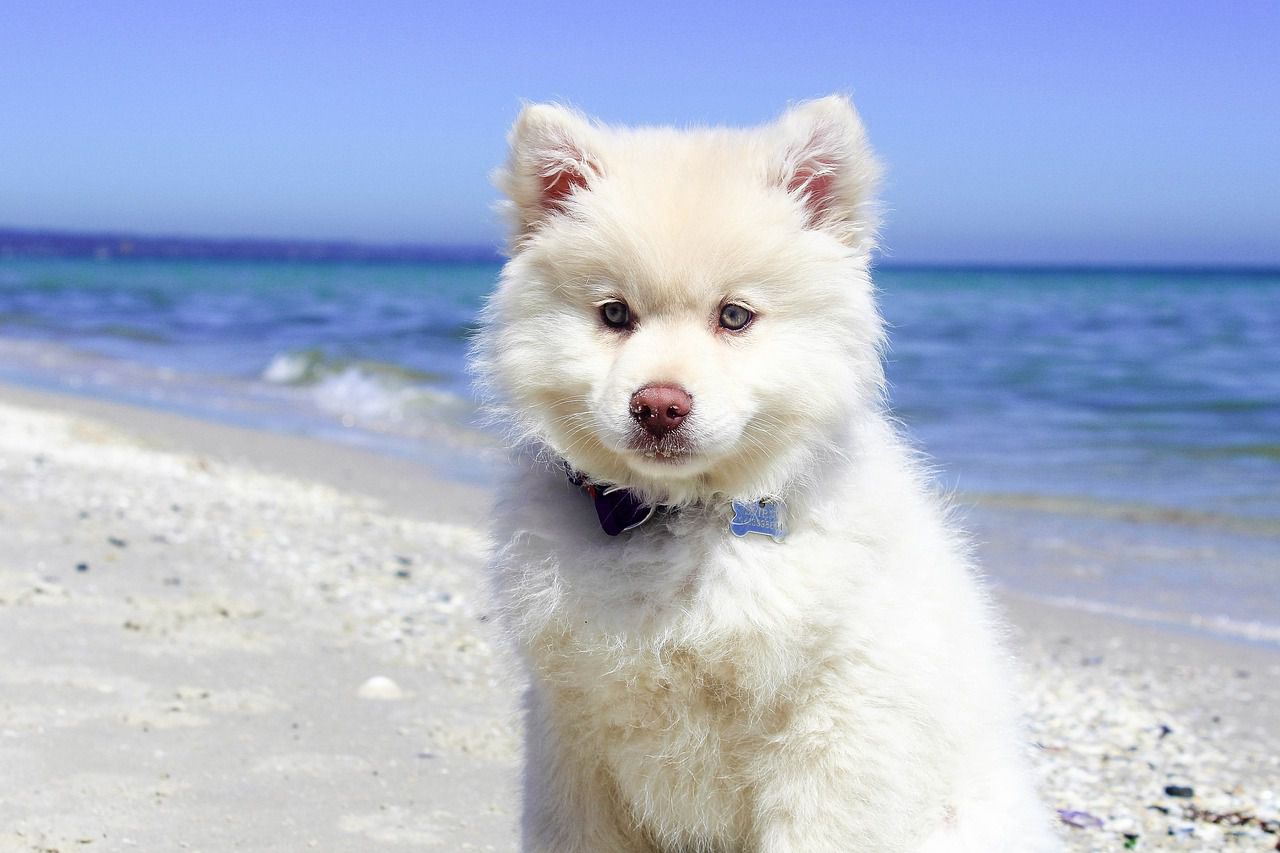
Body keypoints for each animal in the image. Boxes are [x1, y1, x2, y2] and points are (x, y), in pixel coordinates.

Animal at [476, 96, 1054, 845]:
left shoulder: (832, 735)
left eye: (734, 316)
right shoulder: (572, 736)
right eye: (614, 314)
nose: (658, 406)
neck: (680, 523)